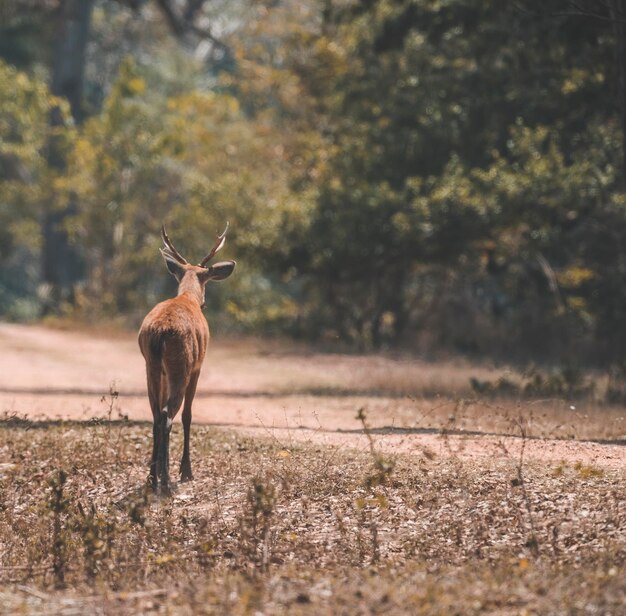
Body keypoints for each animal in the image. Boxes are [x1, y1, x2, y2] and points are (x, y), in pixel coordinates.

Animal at [138, 224, 235, 494]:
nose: (204, 303)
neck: (188, 297)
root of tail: (160, 332)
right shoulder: (197, 366)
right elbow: (189, 415)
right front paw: (186, 471)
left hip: (151, 366)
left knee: (155, 416)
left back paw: (152, 478)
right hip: (180, 364)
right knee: (168, 415)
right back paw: (166, 481)